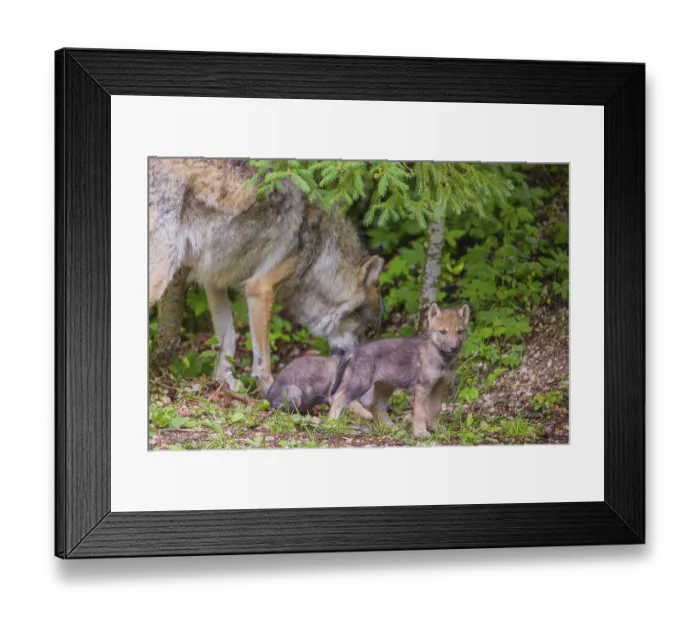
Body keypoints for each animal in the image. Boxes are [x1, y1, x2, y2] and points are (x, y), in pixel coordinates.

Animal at [148, 158, 384, 393]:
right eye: (366, 329)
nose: (361, 363)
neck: (321, 251)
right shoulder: (260, 288)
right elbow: (263, 357)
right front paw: (270, 391)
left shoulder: (214, 280)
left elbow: (229, 337)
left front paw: (226, 382)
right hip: (159, 279)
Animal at [328, 303, 470, 438]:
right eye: (443, 331)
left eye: (459, 331)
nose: (454, 348)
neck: (440, 357)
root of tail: (355, 350)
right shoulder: (422, 387)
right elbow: (421, 413)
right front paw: (420, 433)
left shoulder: (440, 386)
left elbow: (435, 410)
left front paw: (435, 428)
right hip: (361, 384)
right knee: (338, 397)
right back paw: (332, 424)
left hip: (385, 386)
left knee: (376, 406)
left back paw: (391, 427)